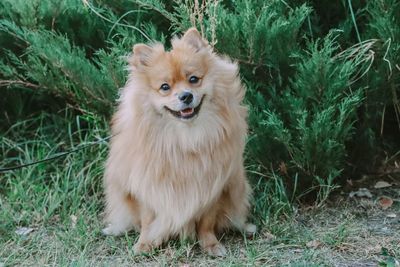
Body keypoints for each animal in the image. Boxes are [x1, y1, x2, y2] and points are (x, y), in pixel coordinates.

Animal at [101, 27, 255, 258]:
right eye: (165, 87)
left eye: (193, 79)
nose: (186, 96)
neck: (185, 138)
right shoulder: (147, 188)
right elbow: (147, 220)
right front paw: (145, 244)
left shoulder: (213, 187)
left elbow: (207, 222)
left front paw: (211, 245)